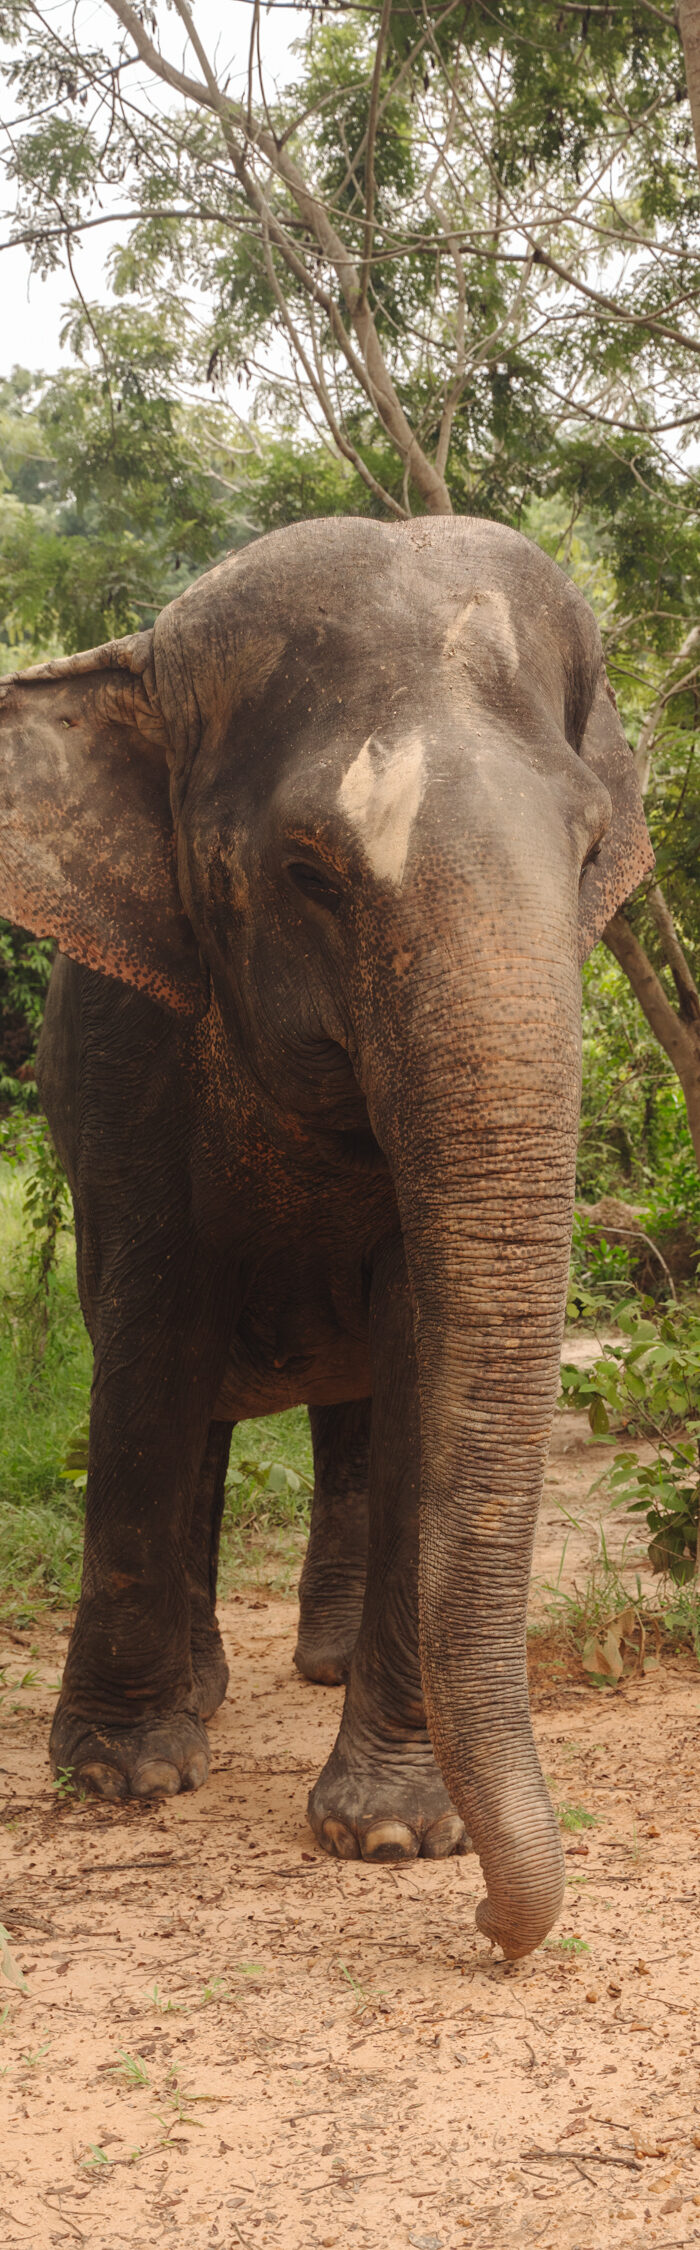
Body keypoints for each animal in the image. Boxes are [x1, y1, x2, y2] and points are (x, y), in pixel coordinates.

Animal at [0, 514, 652, 1959]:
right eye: (307, 873)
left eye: (590, 855)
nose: (500, 1930)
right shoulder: (125, 1052)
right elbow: (149, 1337)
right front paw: (122, 1776)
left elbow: (418, 1353)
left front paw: (395, 1833)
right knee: (188, 1403)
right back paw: (204, 1691)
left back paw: (325, 1664)